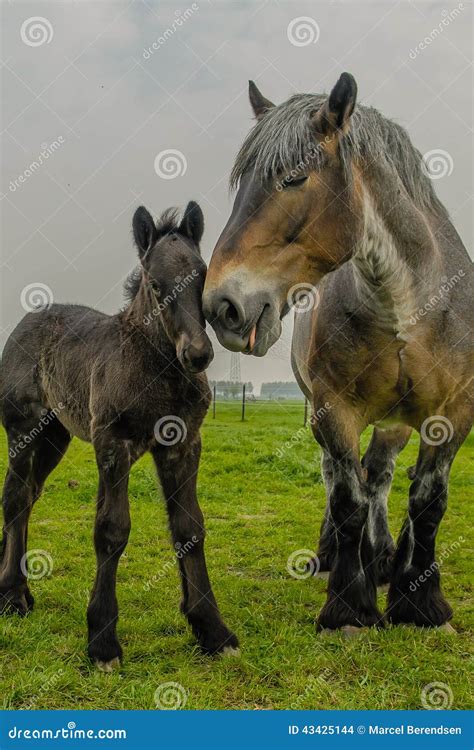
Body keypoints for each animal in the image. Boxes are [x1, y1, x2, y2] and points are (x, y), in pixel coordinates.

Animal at [0, 201, 238, 670]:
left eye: (203, 275)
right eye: (155, 283)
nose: (198, 354)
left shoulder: (183, 445)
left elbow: (189, 527)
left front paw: (212, 630)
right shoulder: (113, 444)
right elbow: (111, 530)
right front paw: (103, 642)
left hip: (55, 437)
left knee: (30, 496)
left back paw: (20, 590)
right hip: (22, 430)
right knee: (15, 499)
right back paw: (13, 597)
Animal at [203, 73, 473, 634]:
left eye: (293, 179)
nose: (221, 306)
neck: (407, 307)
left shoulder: (454, 413)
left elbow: (428, 500)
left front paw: (421, 602)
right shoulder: (335, 409)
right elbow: (348, 500)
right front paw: (351, 605)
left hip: (394, 423)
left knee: (382, 476)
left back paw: (388, 558)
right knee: (343, 477)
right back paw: (341, 557)